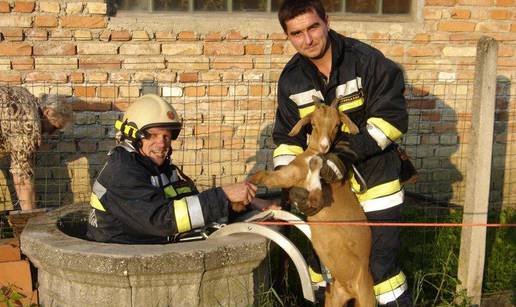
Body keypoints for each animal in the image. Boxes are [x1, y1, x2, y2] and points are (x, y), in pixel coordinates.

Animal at [248, 101, 372, 307]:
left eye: (337, 125)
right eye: (313, 124)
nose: (324, 146)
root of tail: (352, 287)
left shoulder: (291, 175)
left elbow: (270, 177)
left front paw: (251, 182)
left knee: (315, 195)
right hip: (334, 298)